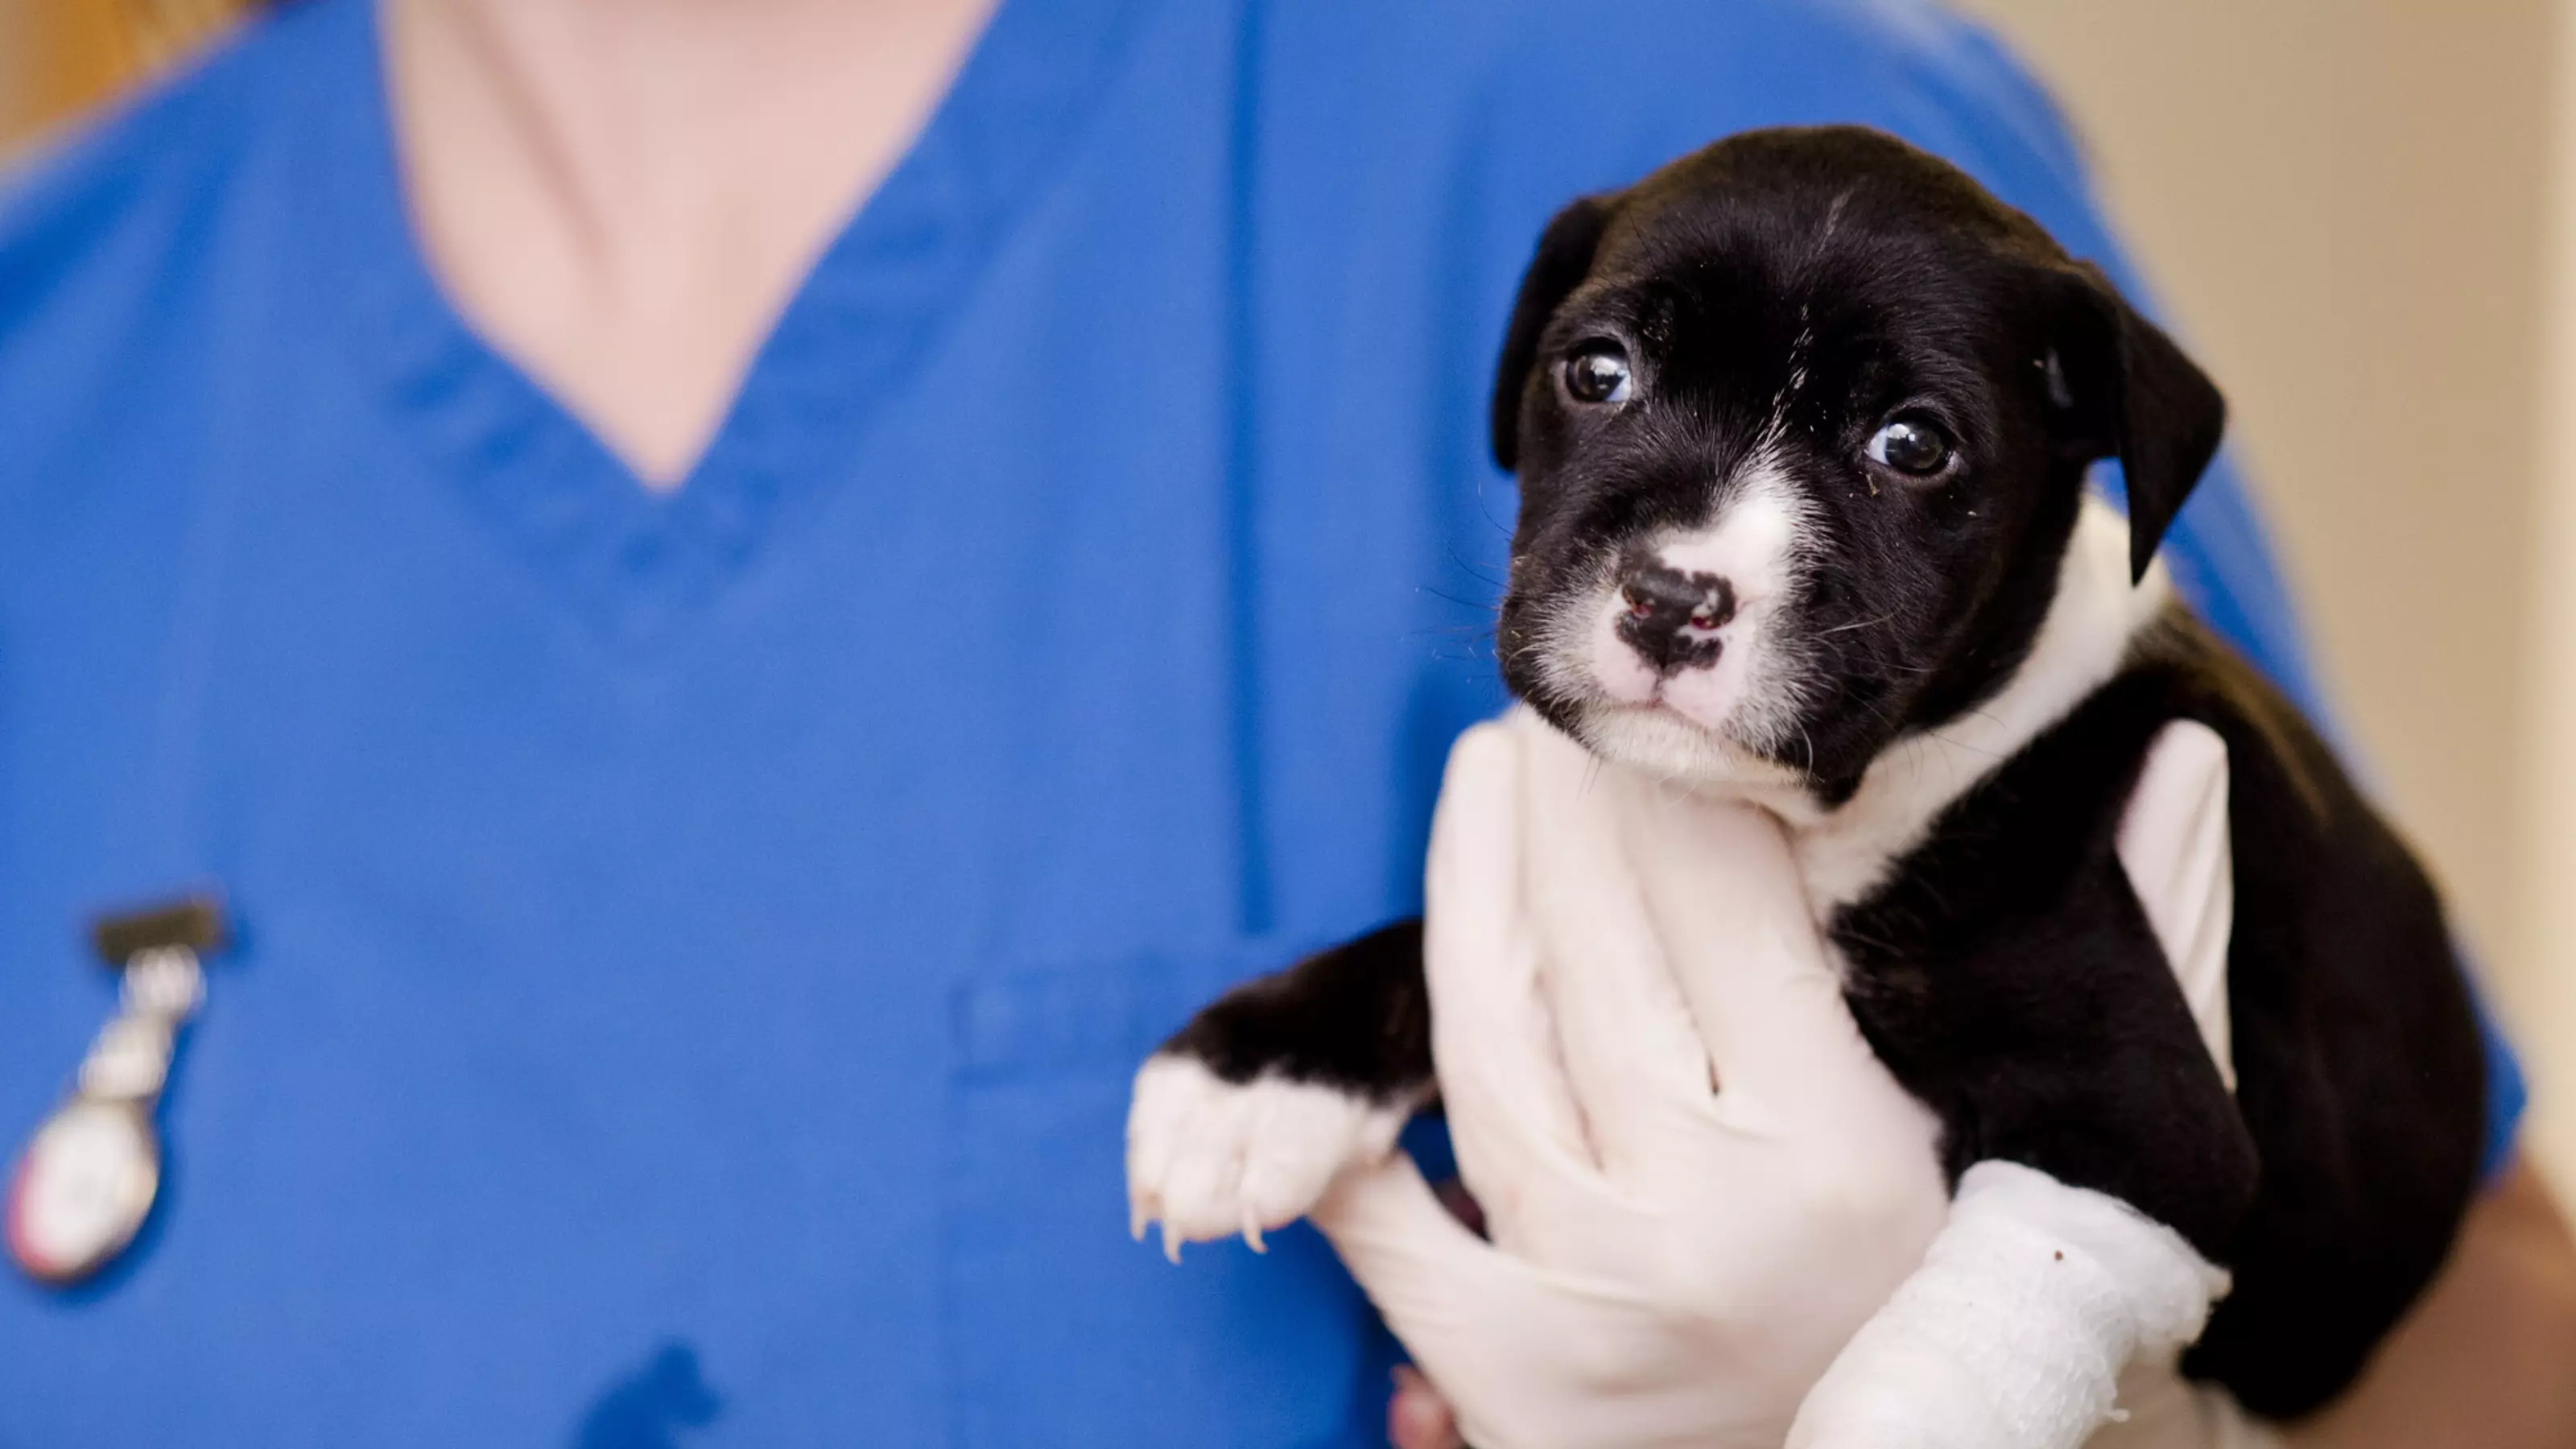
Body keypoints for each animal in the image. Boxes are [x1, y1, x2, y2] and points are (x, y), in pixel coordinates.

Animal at [1117, 126, 2483, 1422]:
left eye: (1913, 445)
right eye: (1598, 372)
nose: (1672, 599)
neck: (1844, 808)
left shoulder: (2140, 1126)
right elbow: (1430, 949)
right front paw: (1251, 1079)